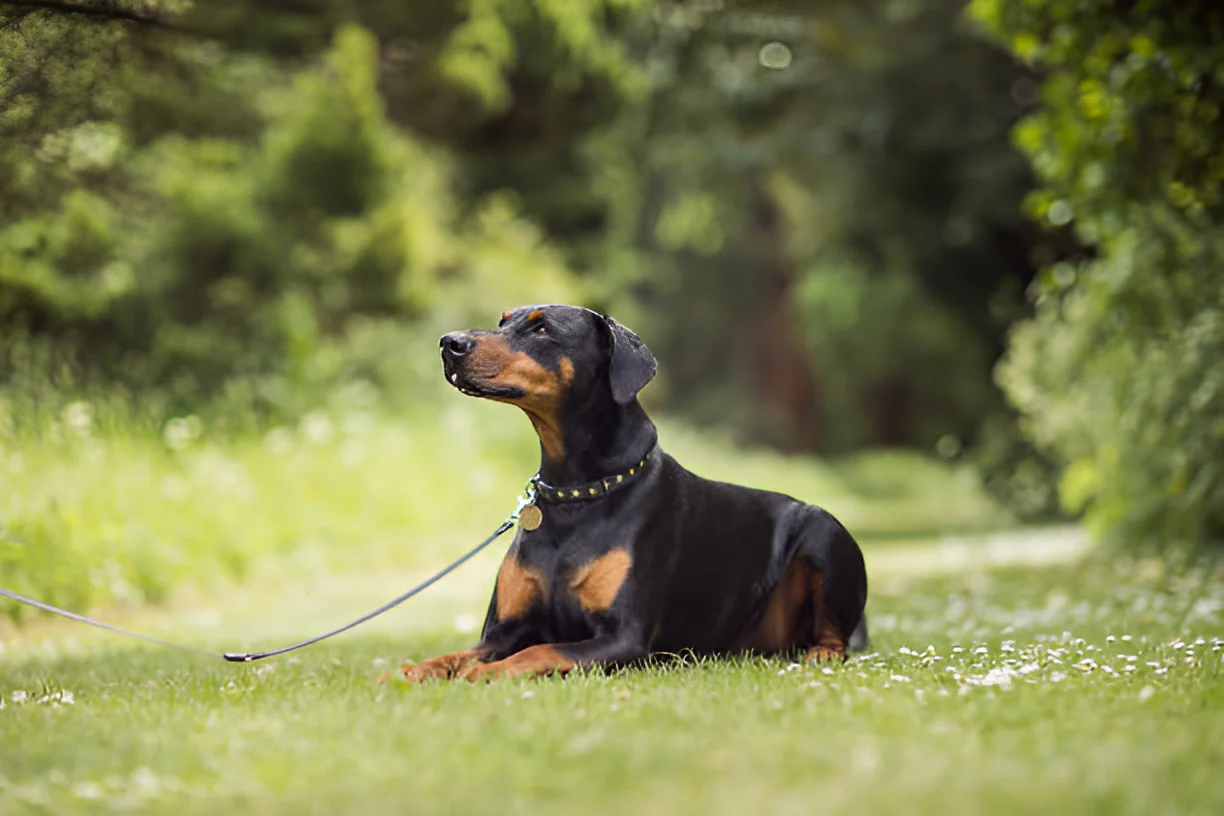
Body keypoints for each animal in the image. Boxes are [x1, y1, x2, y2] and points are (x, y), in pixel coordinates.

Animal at [401, 305, 871, 685]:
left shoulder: (623, 638)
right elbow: (455, 655)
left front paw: (489, 673)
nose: (449, 343)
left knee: (836, 638)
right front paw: (407, 672)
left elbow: (539, 650)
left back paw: (821, 653)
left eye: (541, 328)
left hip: (823, 532)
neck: (575, 491)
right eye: (502, 321)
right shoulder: (502, 631)